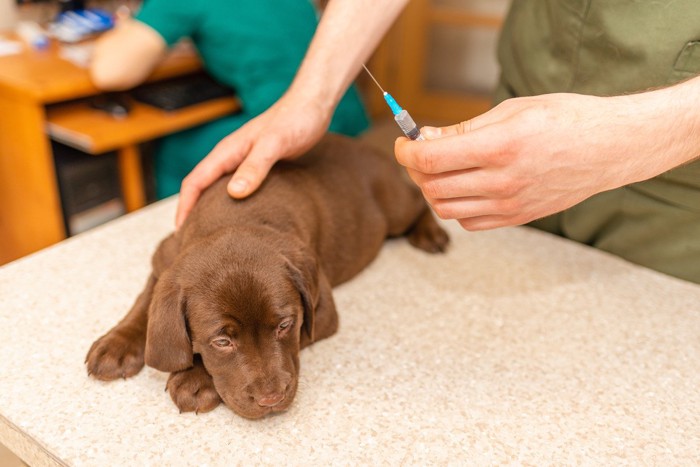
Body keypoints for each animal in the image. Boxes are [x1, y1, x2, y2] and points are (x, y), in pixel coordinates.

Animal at [86, 133, 448, 420]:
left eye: (285, 325)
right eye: (222, 341)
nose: (271, 399)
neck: (236, 215)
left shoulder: (322, 309)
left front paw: (194, 380)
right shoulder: (166, 257)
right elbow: (146, 302)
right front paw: (115, 346)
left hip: (393, 206)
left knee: (420, 200)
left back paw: (431, 233)